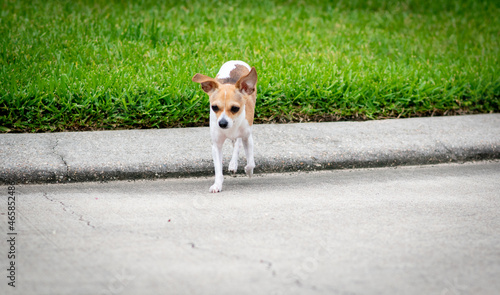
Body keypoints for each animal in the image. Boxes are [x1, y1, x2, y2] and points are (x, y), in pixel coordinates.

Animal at [192, 61, 258, 193]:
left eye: (235, 108)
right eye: (214, 107)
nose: (222, 123)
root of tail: (236, 61)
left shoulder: (247, 138)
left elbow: (251, 163)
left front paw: (249, 171)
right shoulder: (216, 145)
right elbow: (218, 170)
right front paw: (217, 184)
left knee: (238, 144)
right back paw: (233, 164)